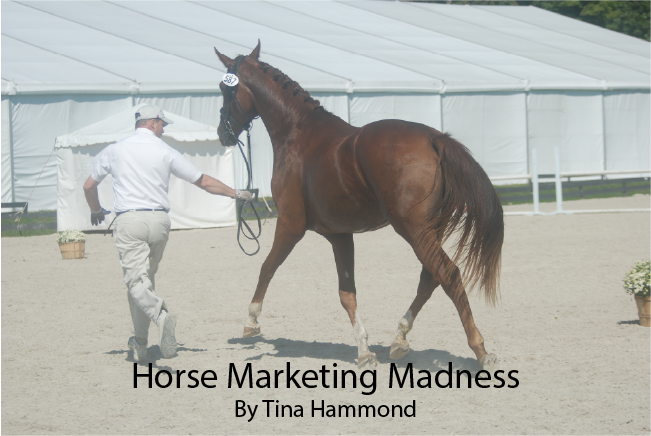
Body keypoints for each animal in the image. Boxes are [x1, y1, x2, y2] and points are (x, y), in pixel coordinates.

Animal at [215, 42, 504, 371]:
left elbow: (266, 268)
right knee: (429, 279)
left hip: (414, 232)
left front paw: (251, 321)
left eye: (225, 90)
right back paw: (399, 338)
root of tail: (434, 138)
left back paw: (480, 349)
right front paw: (364, 351)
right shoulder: (340, 235)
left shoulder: (290, 224)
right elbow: (347, 293)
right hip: (430, 232)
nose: (222, 133)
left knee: (449, 274)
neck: (299, 133)